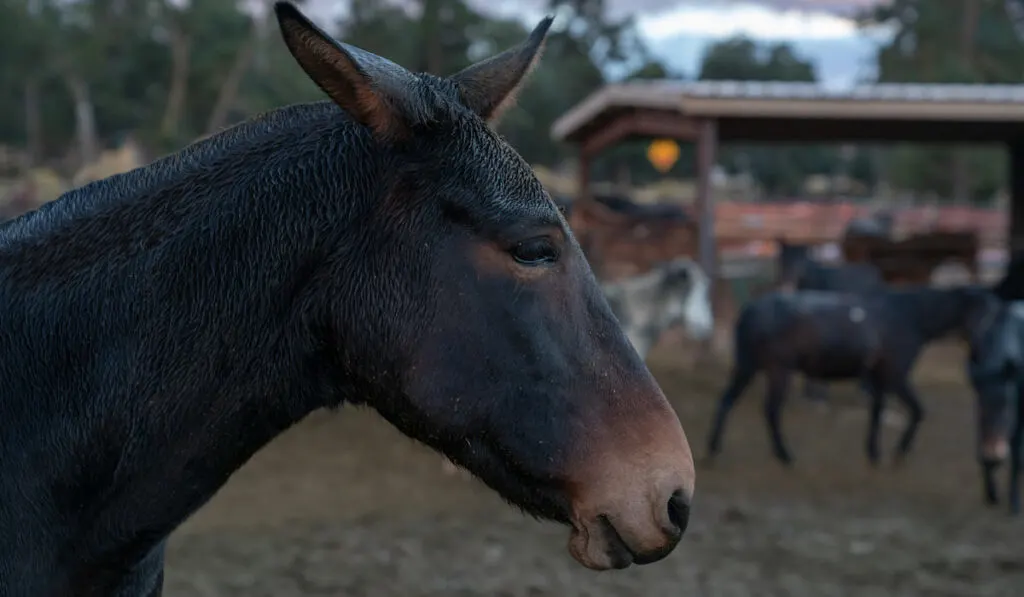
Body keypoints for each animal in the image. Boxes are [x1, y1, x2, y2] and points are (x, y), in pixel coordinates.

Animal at [704, 284, 999, 466]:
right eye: (983, 314)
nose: (986, 350)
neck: (910, 316)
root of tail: (749, 311)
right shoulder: (895, 375)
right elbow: (918, 411)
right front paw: (899, 452)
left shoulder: (879, 378)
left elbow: (877, 413)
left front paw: (874, 453)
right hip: (778, 370)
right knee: (771, 410)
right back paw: (785, 456)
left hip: (748, 366)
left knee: (726, 401)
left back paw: (714, 450)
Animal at [770, 238, 884, 401]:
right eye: (781, 258)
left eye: (801, 259)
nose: (787, 283)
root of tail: (876, 272)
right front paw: (810, 392)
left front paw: (820, 392)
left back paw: (865, 387)